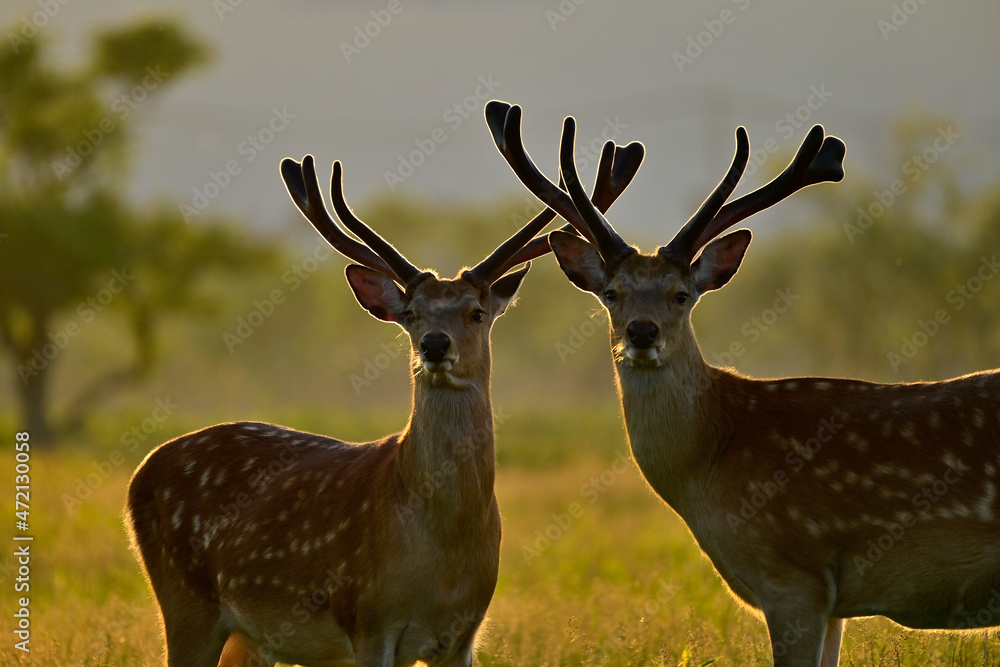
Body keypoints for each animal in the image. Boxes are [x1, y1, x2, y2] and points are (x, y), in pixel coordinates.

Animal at [124, 127, 643, 667]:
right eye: (411, 313)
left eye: (477, 311)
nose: (434, 344)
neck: (444, 558)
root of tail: (141, 471)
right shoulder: (369, 621)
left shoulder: (464, 633)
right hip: (184, 599)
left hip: (249, 637)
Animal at [485, 100, 1000, 666]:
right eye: (612, 293)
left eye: (682, 293)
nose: (642, 332)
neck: (713, 458)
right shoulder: (833, 603)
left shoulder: (792, 573)